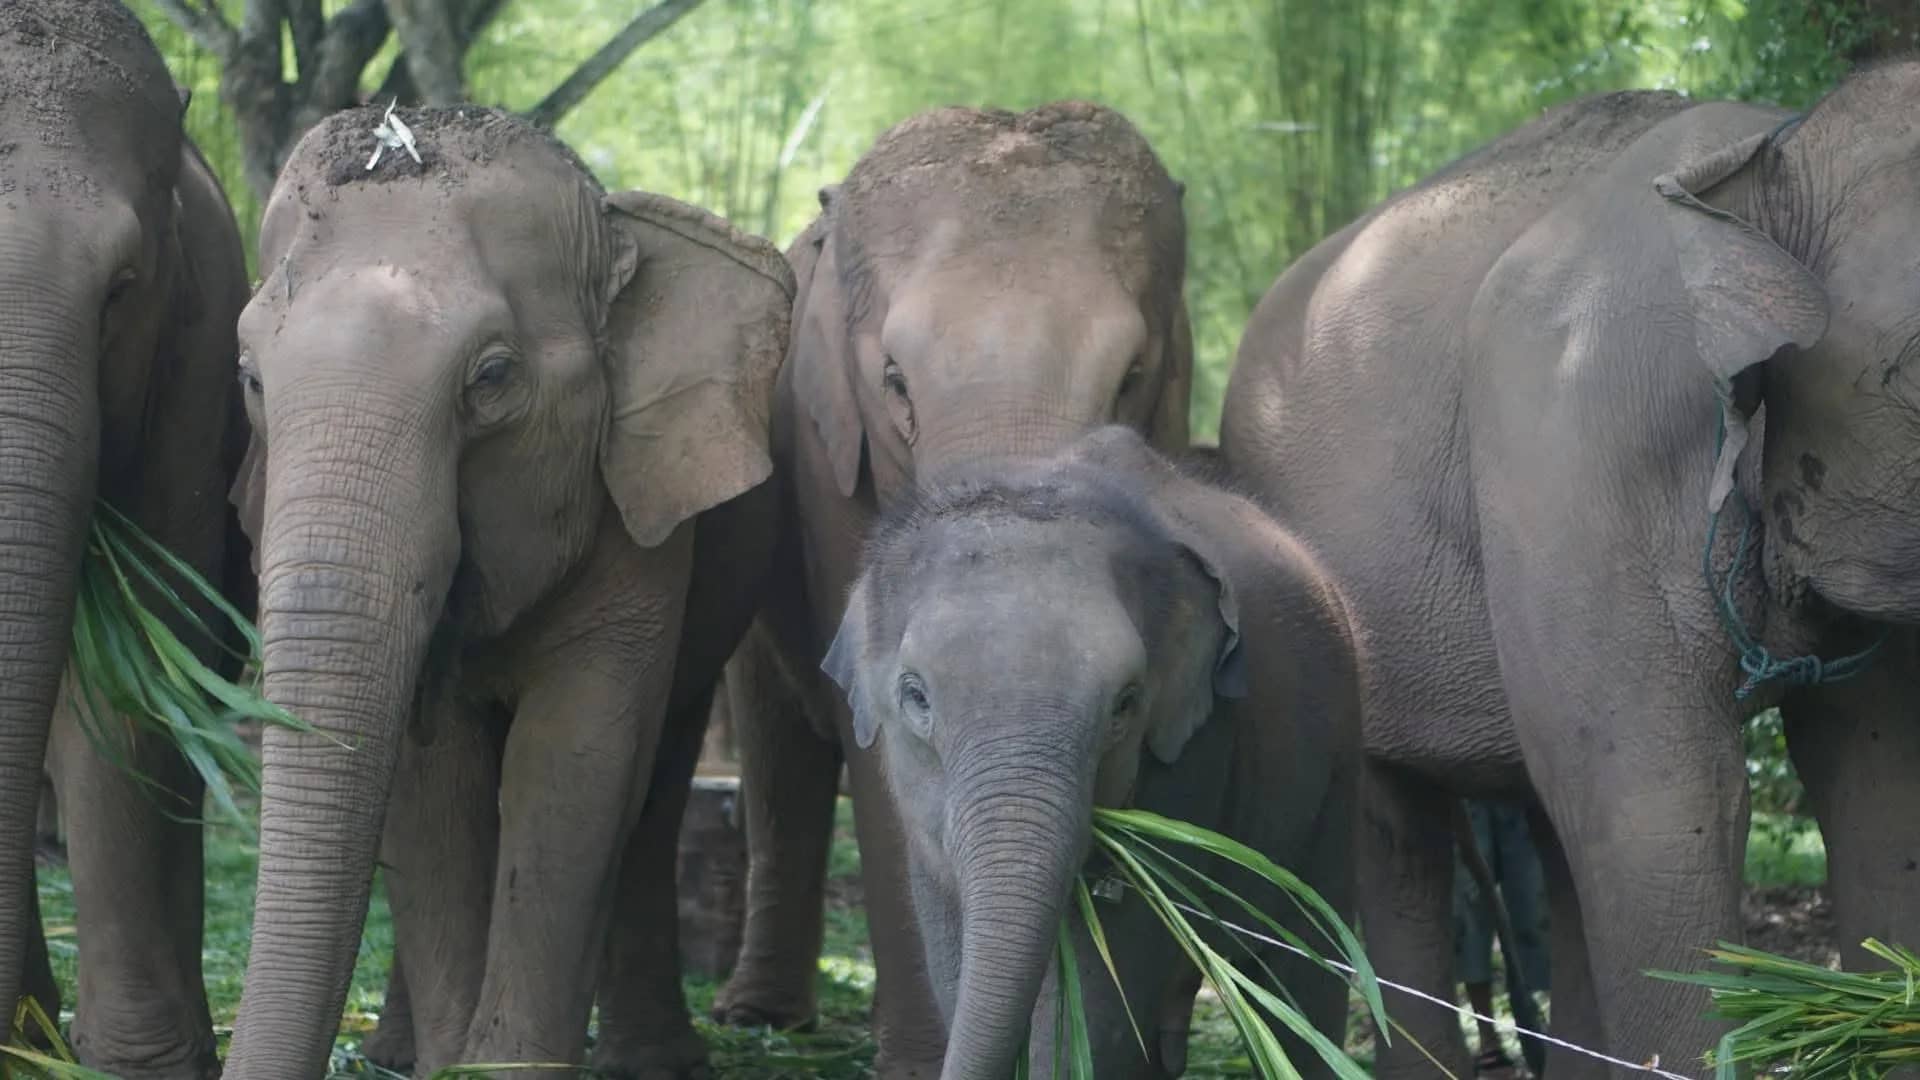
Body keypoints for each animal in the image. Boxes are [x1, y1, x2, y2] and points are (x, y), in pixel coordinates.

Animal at [219, 104, 792, 1078]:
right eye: (251, 379)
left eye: (491, 378)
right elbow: (432, 779)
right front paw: (451, 1062)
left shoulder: (637, 516)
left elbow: (573, 765)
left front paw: (498, 1064)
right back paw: (397, 1051)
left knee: (657, 782)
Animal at [711, 100, 1193, 1076]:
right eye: (894, 380)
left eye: (1131, 378)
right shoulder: (829, 470)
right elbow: (875, 744)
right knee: (778, 741)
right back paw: (756, 1018)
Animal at [819, 426, 1362, 1079]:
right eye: (916, 696)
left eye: (1125, 704)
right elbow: (953, 965)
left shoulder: (1197, 752)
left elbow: (1106, 993)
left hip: (1338, 760)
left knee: (1305, 966)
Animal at [1220, 65, 1920, 1077]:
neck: (1767, 167)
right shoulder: (1567, 445)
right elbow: (1661, 807)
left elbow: (1877, 779)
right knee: (1399, 841)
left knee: (1552, 835)